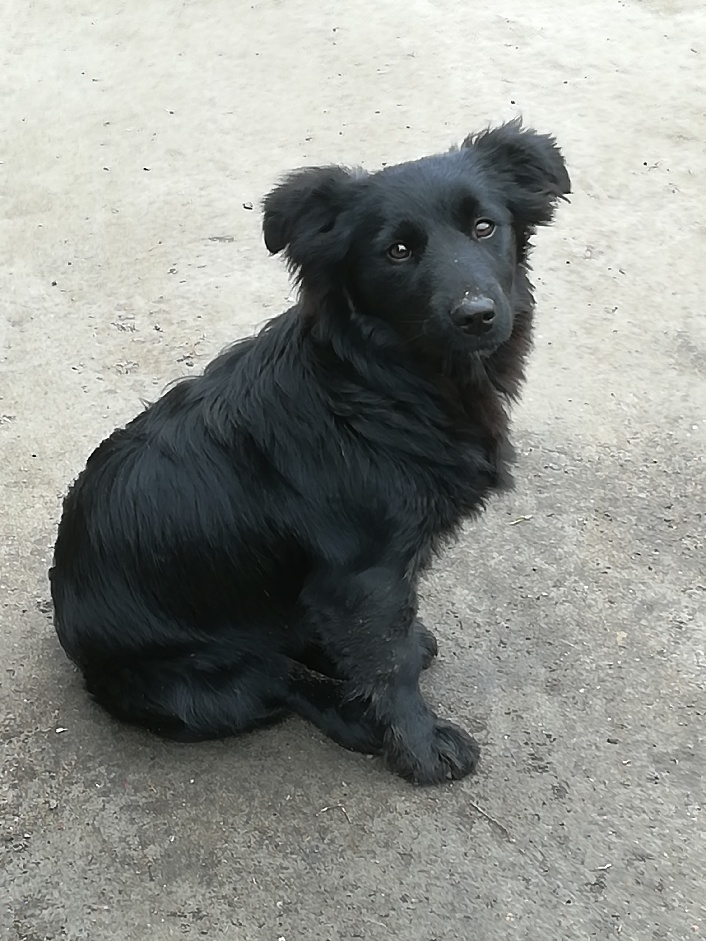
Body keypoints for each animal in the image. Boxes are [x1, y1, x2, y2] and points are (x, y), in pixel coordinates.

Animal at [50, 119, 570, 785]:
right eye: (397, 251)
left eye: (485, 227)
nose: (477, 316)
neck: (380, 384)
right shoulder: (366, 576)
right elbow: (390, 668)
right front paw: (421, 749)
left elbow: (383, 651)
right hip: (201, 684)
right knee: (279, 681)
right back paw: (353, 718)